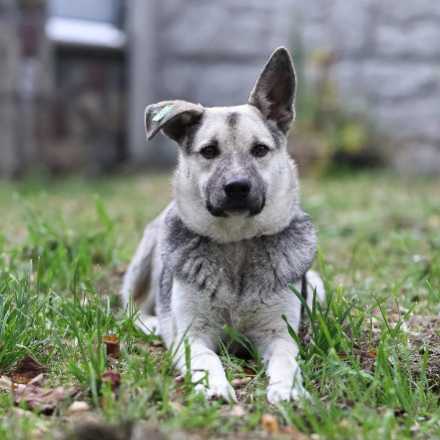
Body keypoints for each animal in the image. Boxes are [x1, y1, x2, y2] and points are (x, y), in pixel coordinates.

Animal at [120, 47, 324, 402]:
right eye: (209, 151)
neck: (237, 243)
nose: (237, 187)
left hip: (316, 287)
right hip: (144, 261)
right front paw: (214, 386)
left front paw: (286, 389)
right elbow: (207, 358)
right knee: (129, 309)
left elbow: (287, 359)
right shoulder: (193, 334)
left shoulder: (278, 332)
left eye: (260, 149)